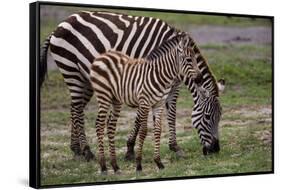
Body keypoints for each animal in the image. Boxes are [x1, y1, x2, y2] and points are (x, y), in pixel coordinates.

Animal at [40, 10, 223, 161]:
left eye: (220, 116)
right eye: (208, 117)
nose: (215, 150)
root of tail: (60, 24)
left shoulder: (172, 84)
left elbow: (171, 113)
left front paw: (175, 147)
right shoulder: (146, 79)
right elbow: (140, 117)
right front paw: (129, 149)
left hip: (85, 78)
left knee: (74, 107)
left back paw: (76, 149)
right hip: (71, 70)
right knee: (77, 109)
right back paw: (86, 151)